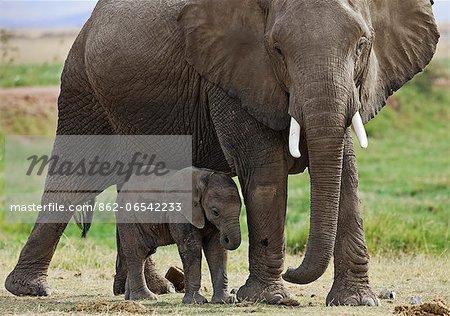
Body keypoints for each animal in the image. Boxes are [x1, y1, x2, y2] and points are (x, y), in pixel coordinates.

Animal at [117, 168, 243, 304]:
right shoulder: (180, 212)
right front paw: (196, 301)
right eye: (215, 212)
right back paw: (145, 297)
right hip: (128, 218)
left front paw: (225, 300)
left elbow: (216, 251)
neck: (203, 179)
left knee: (145, 253)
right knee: (137, 253)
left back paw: (130, 298)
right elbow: (191, 249)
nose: (224, 237)